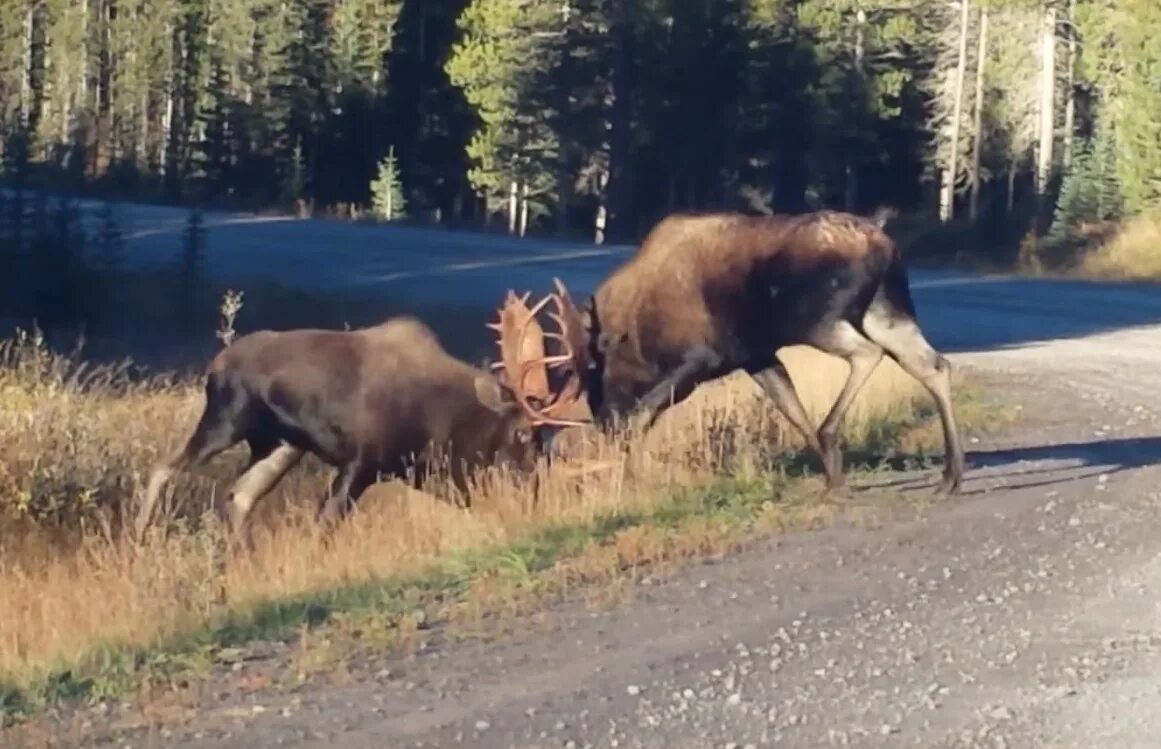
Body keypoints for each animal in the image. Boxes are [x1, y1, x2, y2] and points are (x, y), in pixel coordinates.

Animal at [136, 289, 589, 545]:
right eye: (523, 434)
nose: (533, 492)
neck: (439, 431)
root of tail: (215, 364)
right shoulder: (360, 462)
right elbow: (324, 526)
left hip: (282, 446)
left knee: (239, 496)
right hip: (226, 419)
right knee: (164, 468)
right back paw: (143, 537)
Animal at [531, 204, 965, 497]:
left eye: (596, 379)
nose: (604, 422)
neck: (634, 332)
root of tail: (884, 244)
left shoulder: (700, 358)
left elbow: (644, 413)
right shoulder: (757, 357)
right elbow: (793, 412)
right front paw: (834, 479)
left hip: (817, 319)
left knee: (869, 354)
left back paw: (833, 433)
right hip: (886, 310)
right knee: (932, 365)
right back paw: (950, 477)